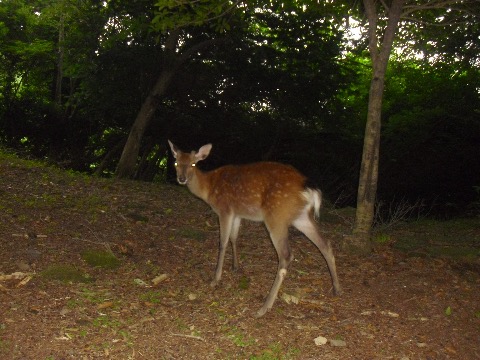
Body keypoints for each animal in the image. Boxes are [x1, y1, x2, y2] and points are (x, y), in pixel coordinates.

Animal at [169, 141, 342, 318]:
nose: (181, 179)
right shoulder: (237, 213)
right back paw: (337, 288)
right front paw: (235, 266)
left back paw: (264, 307)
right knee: (325, 244)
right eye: (176, 162)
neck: (208, 188)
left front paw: (215, 279)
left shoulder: (225, 209)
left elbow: (222, 242)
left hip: (276, 216)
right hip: (301, 217)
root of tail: (309, 190)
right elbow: (234, 238)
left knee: (286, 255)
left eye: (193, 164)